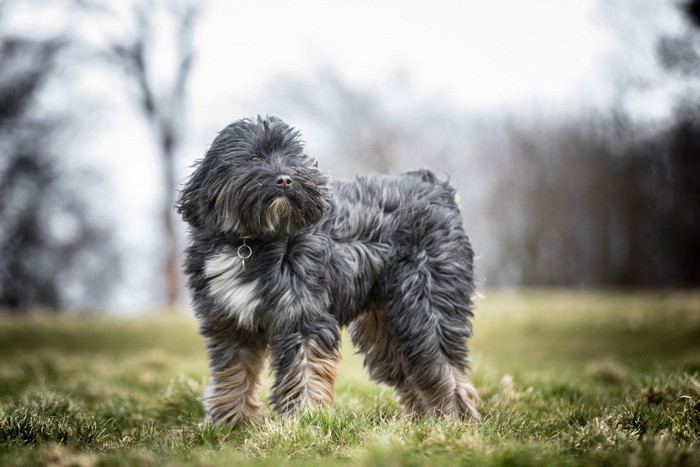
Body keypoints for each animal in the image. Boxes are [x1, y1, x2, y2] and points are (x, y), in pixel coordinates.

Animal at [178, 116, 478, 428]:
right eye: (254, 158)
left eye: (292, 157)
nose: (285, 180)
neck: (250, 242)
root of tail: (436, 187)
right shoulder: (230, 324)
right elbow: (234, 374)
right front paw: (230, 424)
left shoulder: (303, 316)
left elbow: (305, 369)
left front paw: (304, 420)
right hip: (385, 326)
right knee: (411, 369)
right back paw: (424, 421)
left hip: (425, 304)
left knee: (441, 363)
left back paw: (453, 419)